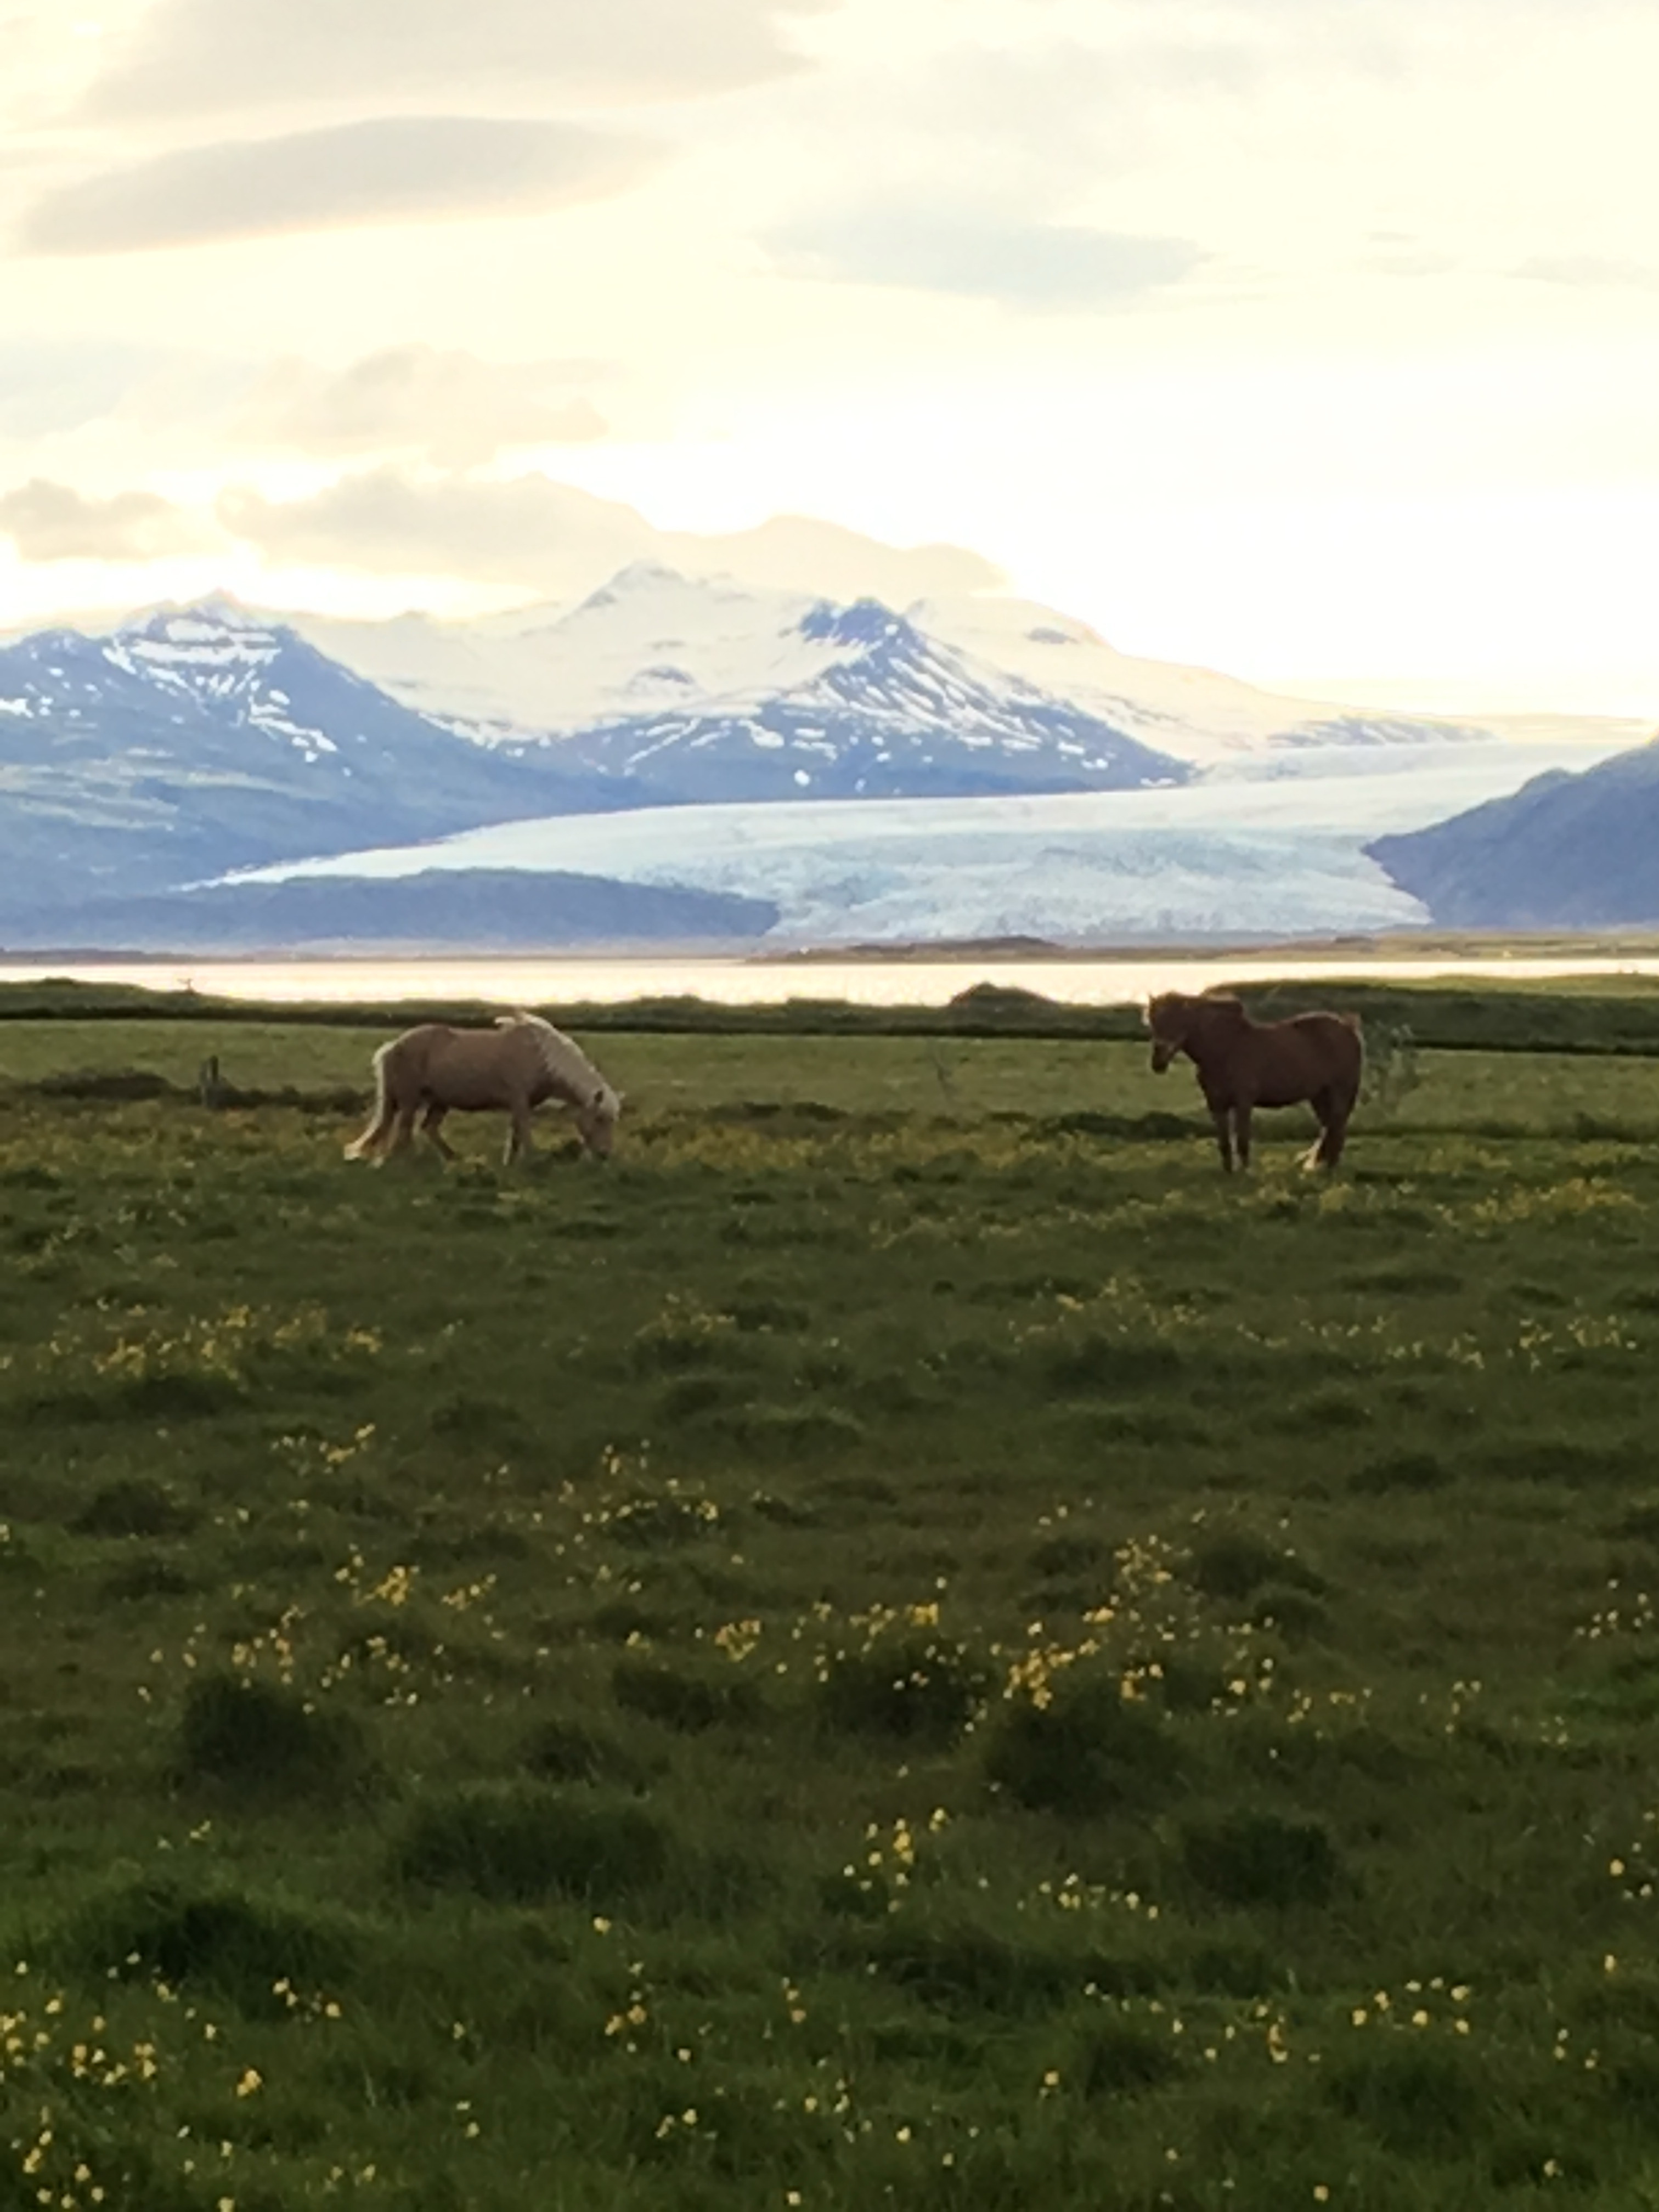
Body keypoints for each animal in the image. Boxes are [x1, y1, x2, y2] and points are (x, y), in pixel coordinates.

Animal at [345, 1013, 624, 1167]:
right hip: (410, 1101)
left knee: (429, 1129)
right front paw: (531, 1162)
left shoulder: (520, 1104)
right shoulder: (520, 1101)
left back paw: (453, 1159)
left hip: (439, 1101)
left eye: (612, 1120)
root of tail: (393, 1046)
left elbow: (515, 1134)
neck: (540, 1056)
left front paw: (510, 1163)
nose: (605, 1155)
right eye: (600, 1119)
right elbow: (525, 1133)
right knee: (405, 1133)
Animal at [1141, 995, 1362, 1177]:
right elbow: (1224, 1142)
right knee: (1329, 1128)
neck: (1225, 1049)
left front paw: (1246, 1173)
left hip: (1339, 1091)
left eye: (1175, 1020)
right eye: (1153, 1023)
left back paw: (1330, 1170)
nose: (1158, 1064)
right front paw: (1228, 1173)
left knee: (1336, 1128)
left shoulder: (1243, 1102)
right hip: (1319, 1096)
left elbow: (1242, 1139)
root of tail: (1347, 1028)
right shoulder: (1216, 1104)